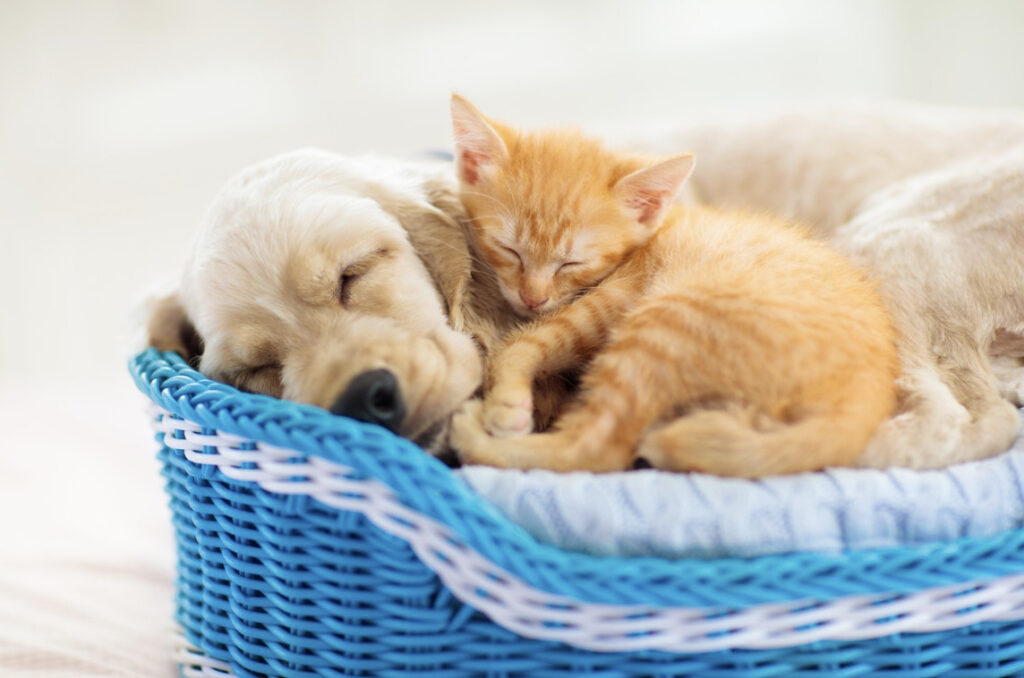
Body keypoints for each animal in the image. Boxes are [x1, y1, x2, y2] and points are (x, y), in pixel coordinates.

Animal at [446, 95, 897, 477]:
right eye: (509, 249)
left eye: (572, 263)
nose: (532, 298)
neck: (656, 230)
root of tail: (865, 397)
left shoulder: (611, 297)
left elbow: (525, 341)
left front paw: (506, 401)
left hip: (666, 324)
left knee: (597, 446)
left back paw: (473, 437)